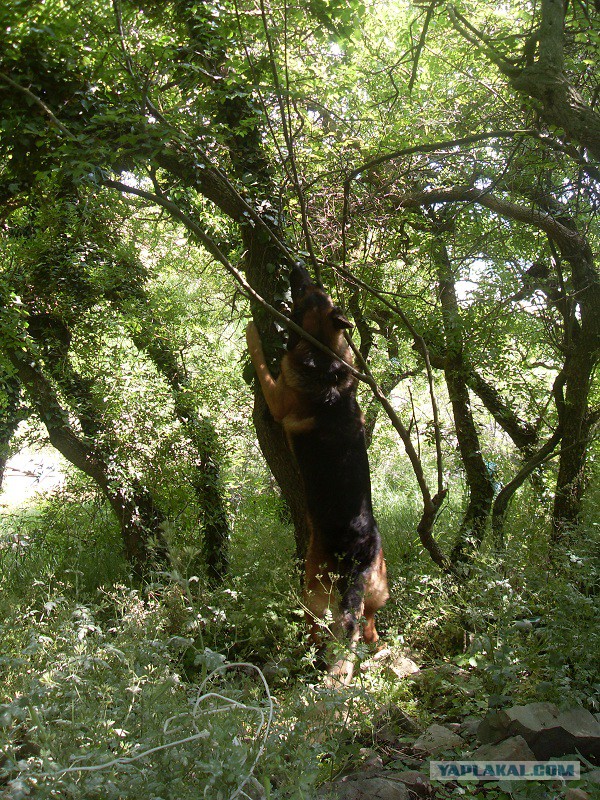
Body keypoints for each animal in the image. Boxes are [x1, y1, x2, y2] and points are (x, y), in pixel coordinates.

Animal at [245, 268, 390, 680]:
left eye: (312, 292)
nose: (296, 264)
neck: (324, 353)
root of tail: (359, 550)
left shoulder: (277, 396)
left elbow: (260, 357)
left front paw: (252, 329)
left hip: (313, 589)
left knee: (323, 631)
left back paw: (305, 655)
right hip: (377, 593)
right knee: (368, 630)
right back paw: (375, 654)